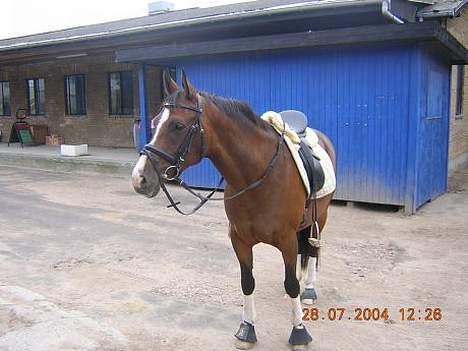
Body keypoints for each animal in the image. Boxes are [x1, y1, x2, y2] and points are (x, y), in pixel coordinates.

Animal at [132, 71, 336, 350]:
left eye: (178, 126)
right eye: (153, 123)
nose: (139, 178)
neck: (257, 174)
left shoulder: (285, 239)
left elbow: (292, 285)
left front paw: (299, 333)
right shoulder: (239, 239)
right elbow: (247, 282)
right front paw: (247, 330)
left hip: (320, 218)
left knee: (313, 250)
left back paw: (310, 290)